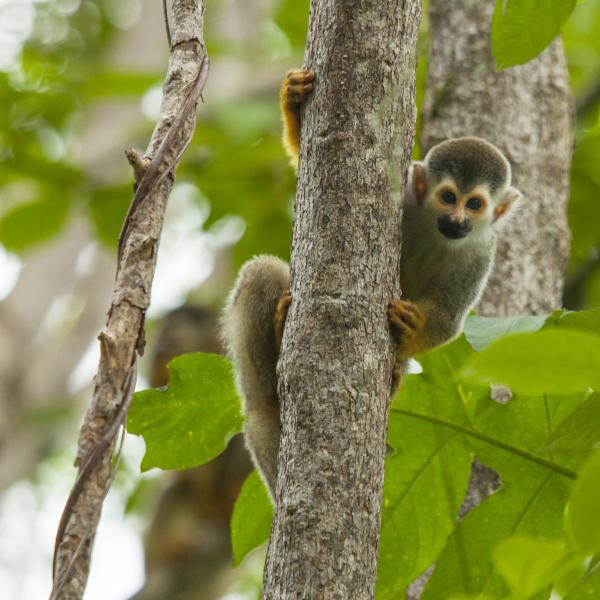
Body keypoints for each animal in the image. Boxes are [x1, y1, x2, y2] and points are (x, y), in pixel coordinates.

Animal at [220, 68, 520, 496]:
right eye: (449, 197)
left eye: (475, 204)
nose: (458, 221)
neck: (435, 230)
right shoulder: (406, 195)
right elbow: (303, 175)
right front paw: (293, 102)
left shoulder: (480, 254)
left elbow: (447, 318)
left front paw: (412, 326)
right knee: (261, 276)